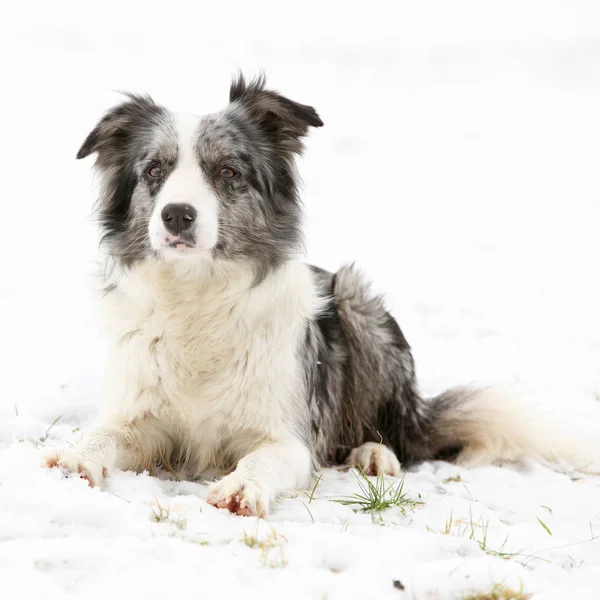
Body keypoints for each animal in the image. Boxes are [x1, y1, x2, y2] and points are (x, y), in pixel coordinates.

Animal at [44, 74, 596, 516]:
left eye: (227, 172)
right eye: (154, 171)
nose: (177, 215)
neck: (196, 294)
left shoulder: (290, 438)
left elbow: (261, 458)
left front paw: (242, 486)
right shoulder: (142, 416)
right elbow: (104, 434)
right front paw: (76, 457)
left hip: (358, 305)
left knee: (398, 437)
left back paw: (373, 454)